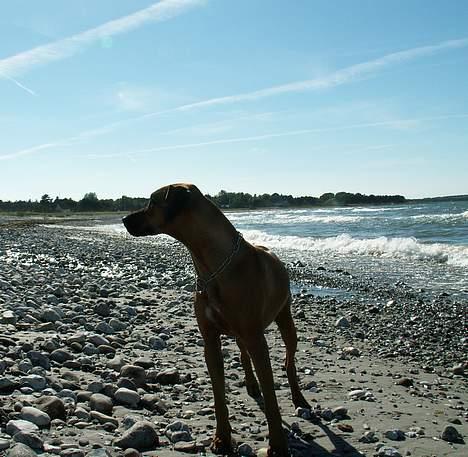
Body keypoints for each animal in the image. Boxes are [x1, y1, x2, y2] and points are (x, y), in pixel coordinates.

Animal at [122, 183, 308, 456]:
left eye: (152, 202)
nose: (124, 219)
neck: (213, 266)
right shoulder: (210, 340)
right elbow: (219, 394)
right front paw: (222, 438)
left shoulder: (256, 340)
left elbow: (272, 399)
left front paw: (278, 445)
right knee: (243, 352)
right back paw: (251, 383)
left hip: (285, 318)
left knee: (289, 360)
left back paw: (298, 396)